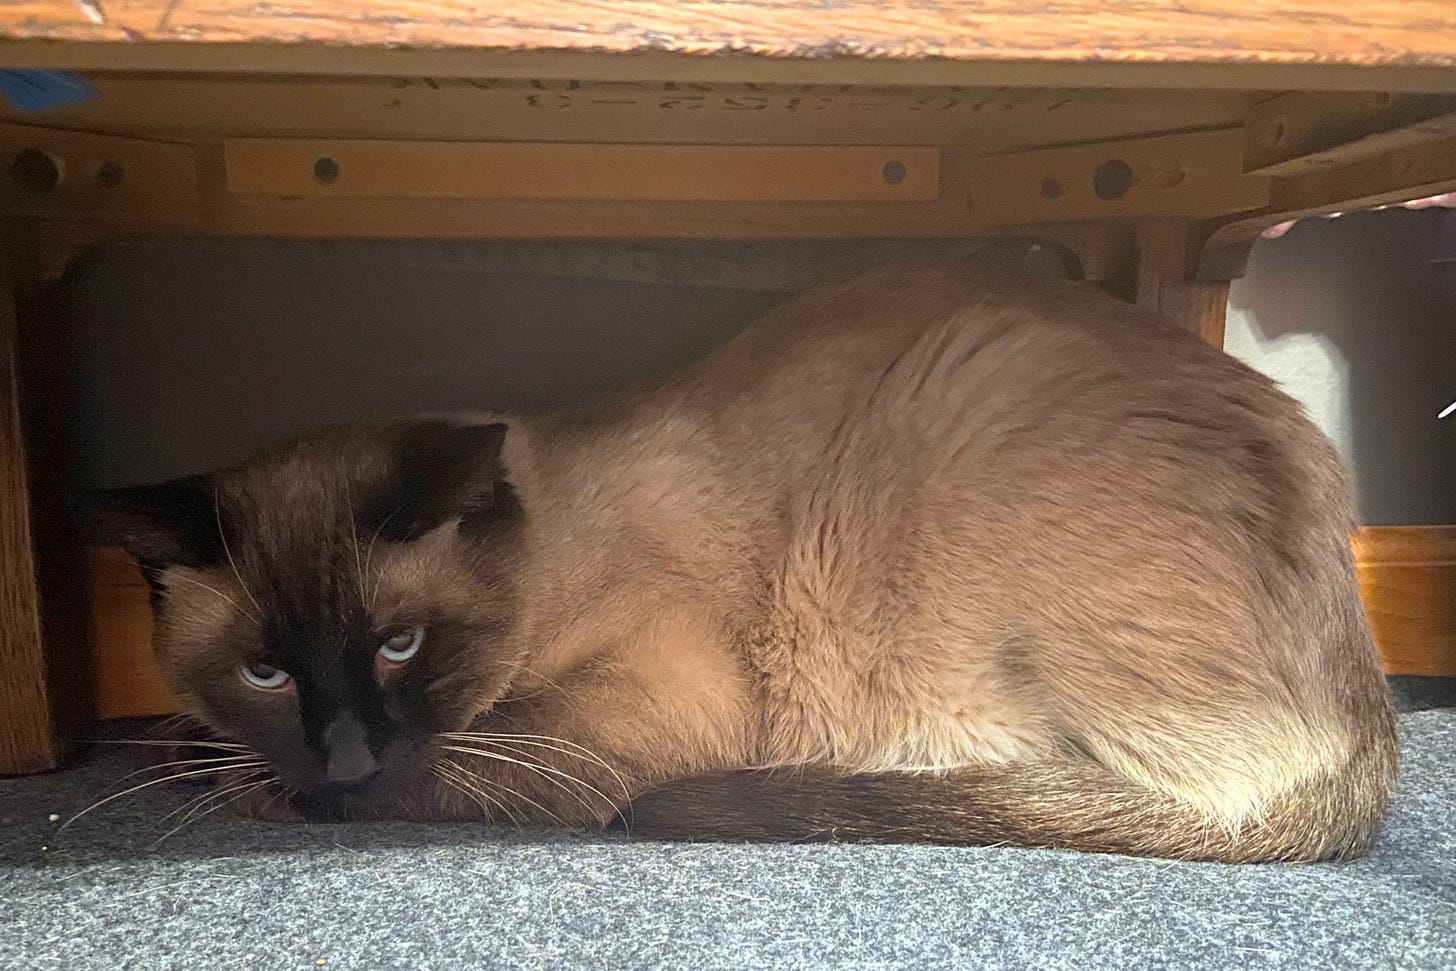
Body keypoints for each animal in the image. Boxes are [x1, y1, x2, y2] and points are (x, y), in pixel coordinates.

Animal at [79, 263, 1397, 855]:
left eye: (401, 645)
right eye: (264, 672)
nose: (345, 749)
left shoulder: (631, 710)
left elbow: (446, 772)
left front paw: (247, 785)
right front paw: (180, 750)